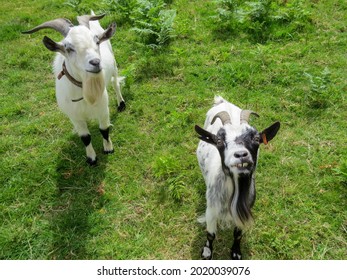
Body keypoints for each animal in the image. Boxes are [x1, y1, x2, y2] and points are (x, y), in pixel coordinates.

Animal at [22, 13, 125, 165]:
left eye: (97, 42)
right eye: (69, 48)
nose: (95, 62)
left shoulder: (102, 108)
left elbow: (104, 130)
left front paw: (108, 149)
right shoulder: (74, 116)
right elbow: (85, 137)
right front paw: (91, 158)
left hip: (114, 64)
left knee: (115, 83)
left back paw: (121, 104)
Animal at [196, 96, 280, 260]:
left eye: (256, 138)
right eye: (219, 141)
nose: (241, 154)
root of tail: (222, 101)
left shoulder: (244, 210)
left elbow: (238, 233)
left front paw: (236, 252)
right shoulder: (211, 210)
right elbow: (210, 234)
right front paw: (207, 252)